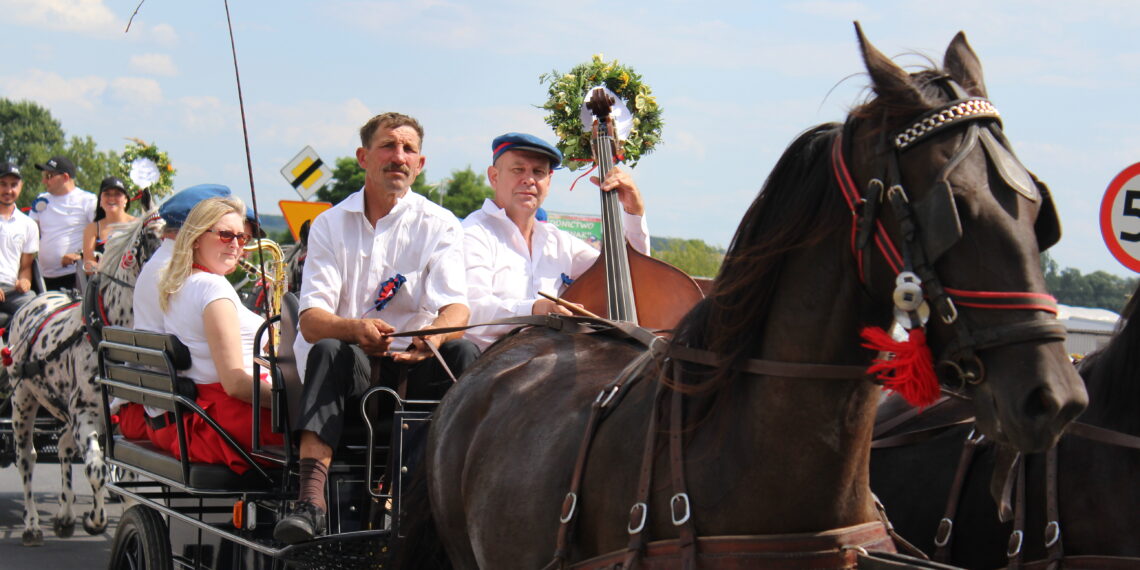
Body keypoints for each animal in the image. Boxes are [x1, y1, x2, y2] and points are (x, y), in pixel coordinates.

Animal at [4, 212, 164, 544]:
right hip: (23, 402)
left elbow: (125, 480)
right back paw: (32, 525)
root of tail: (37, 300)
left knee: (64, 446)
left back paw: (64, 516)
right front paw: (95, 520)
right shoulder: (84, 413)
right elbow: (97, 471)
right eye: (151, 237)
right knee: (27, 458)